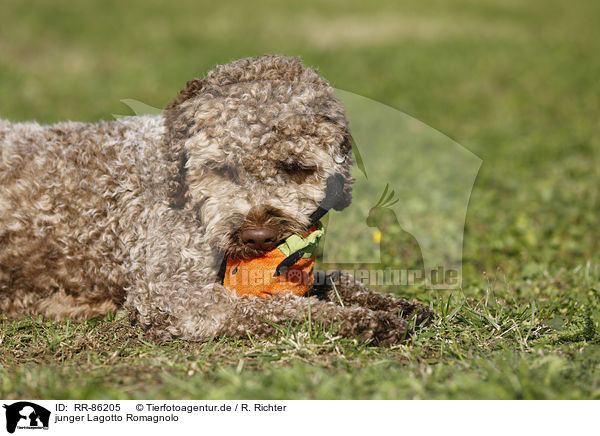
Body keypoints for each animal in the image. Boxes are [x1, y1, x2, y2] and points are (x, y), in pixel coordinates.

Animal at [0, 54, 432, 344]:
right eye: (222, 169)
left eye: (295, 167)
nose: (257, 236)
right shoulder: (174, 296)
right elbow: (272, 307)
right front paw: (362, 321)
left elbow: (331, 280)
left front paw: (395, 303)